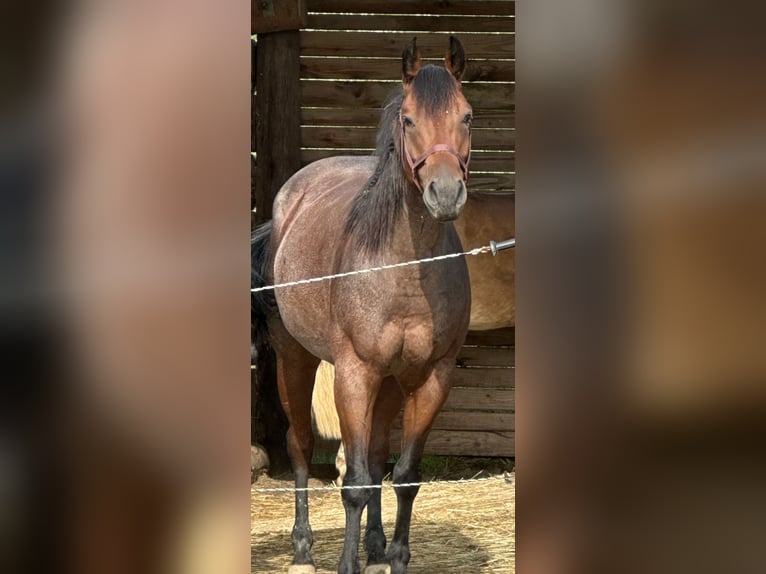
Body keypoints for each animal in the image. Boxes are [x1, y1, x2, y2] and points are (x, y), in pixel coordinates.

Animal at [251, 37, 474, 574]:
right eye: (409, 119)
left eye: (467, 116)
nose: (445, 194)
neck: (406, 271)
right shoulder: (354, 374)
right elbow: (352, 482)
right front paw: (346, 563)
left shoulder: (431, 378)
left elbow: (401, 474)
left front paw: (394, 557)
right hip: (296, 359)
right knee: (300, 445)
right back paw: (303, 550)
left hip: (391, 382)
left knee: (374, 455)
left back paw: (373, 546)